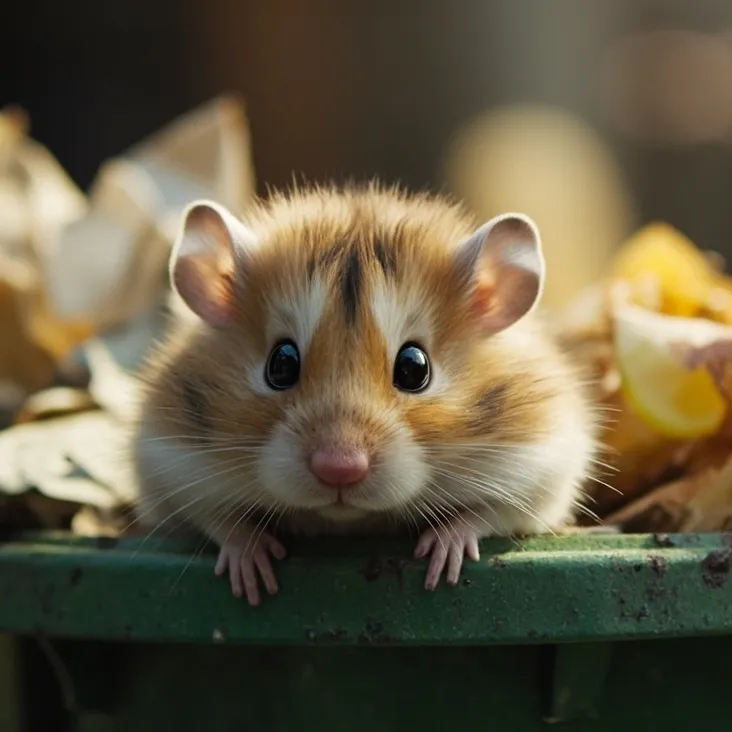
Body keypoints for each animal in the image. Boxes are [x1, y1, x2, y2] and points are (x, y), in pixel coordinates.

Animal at [132, 183, 599, 606]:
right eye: (280, 364)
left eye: (414, 368)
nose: (339, 469)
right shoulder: (170, 467)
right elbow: (218, 519)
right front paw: (255, 577)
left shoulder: (541, 475)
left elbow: (485, 515)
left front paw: (439, 566)